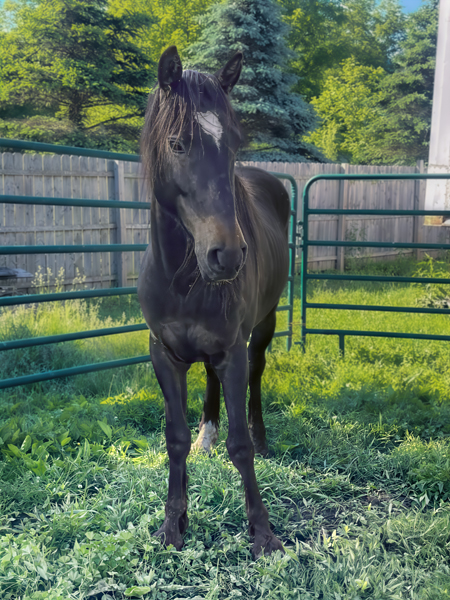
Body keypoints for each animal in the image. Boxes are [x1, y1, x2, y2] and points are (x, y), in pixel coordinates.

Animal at [139, 45, 290, 556]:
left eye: (235, 145)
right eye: (177, 144)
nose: (227, 254)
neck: (182, 279)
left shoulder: (234, 351)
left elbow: (240, 447)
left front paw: (262, 532)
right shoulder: (164, 353)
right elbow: (175, 438)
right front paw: (173, 523)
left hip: (263, 328)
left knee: (258, 380)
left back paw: (264, 439)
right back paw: (208, 435)